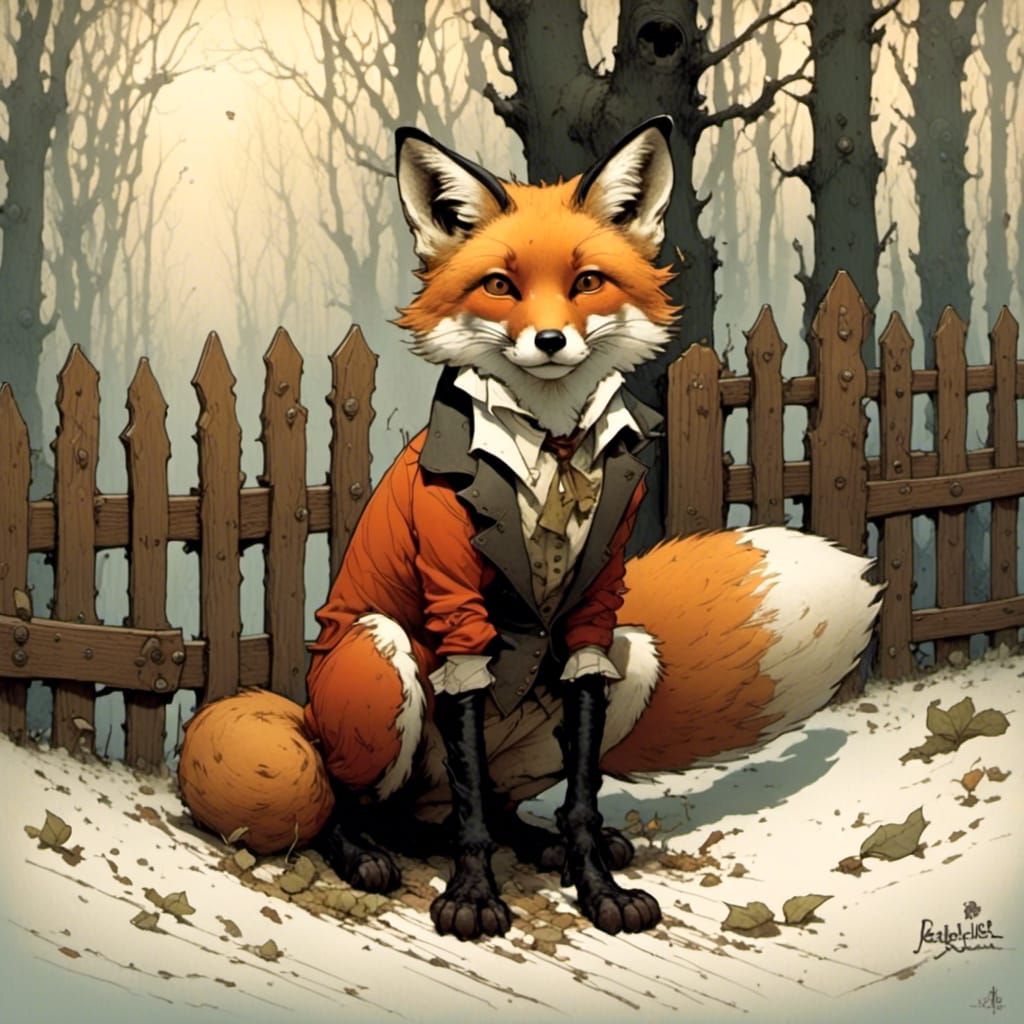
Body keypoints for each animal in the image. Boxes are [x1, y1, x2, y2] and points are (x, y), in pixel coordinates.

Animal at [179, 117, 881, 942]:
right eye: (500, 286)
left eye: (586, 282)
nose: (549, 341)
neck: (552, 447)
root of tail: (308, 715)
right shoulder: (459, 613)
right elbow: (473, 812)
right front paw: (473, 897)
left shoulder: (595, 614)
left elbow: (576, 794)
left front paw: (596, 883)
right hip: (376, 659)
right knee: (360, 803)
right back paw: (364, 853)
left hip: (636, 657)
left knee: (488, 800)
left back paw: (540, 842)